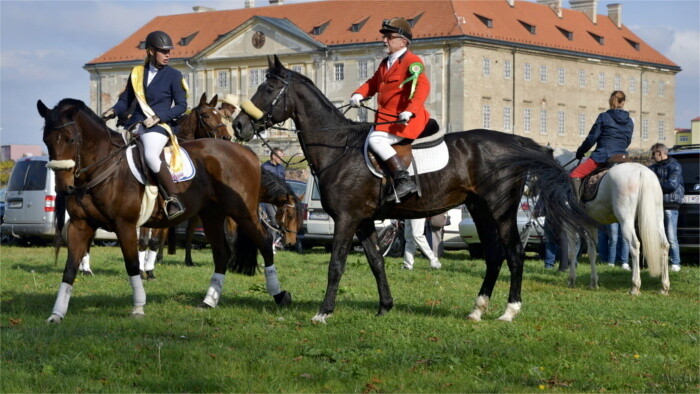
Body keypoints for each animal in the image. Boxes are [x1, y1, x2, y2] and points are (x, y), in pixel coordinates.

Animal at [39, 98, 290, 324]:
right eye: (46, 140)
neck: (102, 167)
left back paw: (279, 295)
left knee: (265, 242)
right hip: (212, 216)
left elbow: (133, 263)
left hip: (243, 213)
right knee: (221, 254)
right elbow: (69, 268)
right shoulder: (80, 225)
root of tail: (246, 153)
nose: (64, 188)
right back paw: (209, 301)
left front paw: (139, 306)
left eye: (71, 139)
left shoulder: (126, 225)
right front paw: (56, 314)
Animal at [232, 56, 592, 324]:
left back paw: (509, 311)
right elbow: (376, 262)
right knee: (494, 255)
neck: (338, 146)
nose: (238, 125)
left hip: (500, 209)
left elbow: (336, 265)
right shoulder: (364, 221)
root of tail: (514, 141)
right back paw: (477, 310)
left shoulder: (347, 219)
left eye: (268, 88)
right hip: (480, 210)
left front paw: (323, 312)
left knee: (514, 254)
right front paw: (385, 306)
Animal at [552, 149, 672, 294]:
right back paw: (664, 287)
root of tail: (642, 172)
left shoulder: (570, 225)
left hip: (626, 220)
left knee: (634, 245)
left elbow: (572, 252)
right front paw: (593, 283)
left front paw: (571, 280)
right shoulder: (590, 224)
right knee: (664, 245)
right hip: (656, 218)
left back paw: (635, 286)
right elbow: (592, 252)